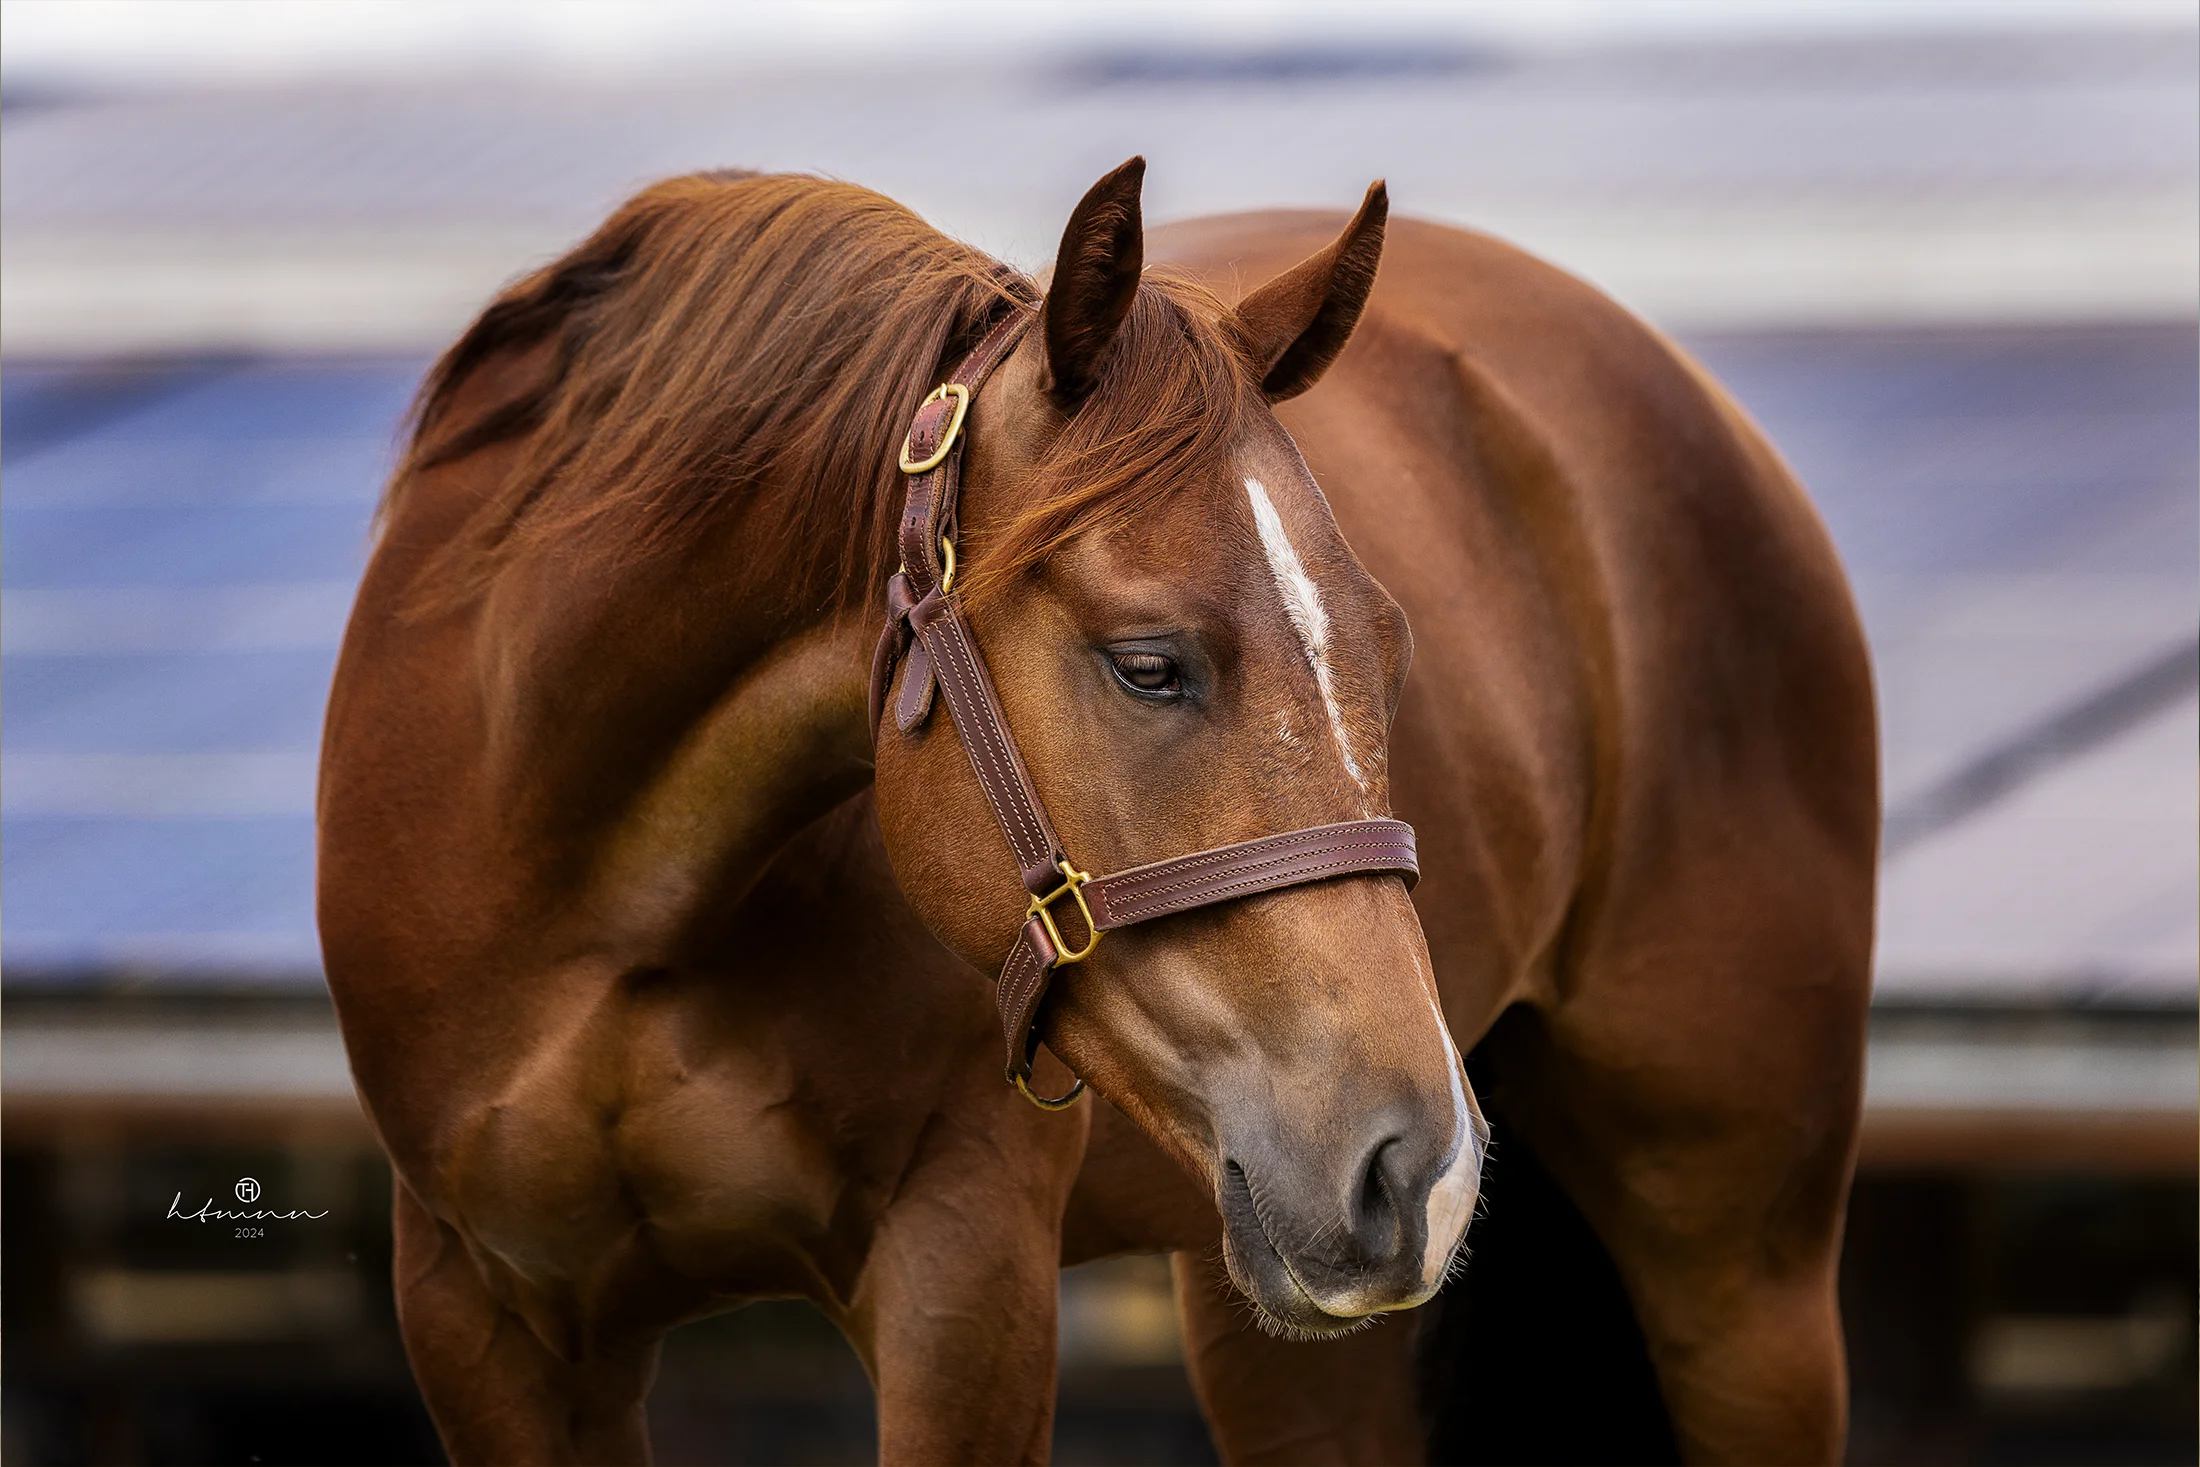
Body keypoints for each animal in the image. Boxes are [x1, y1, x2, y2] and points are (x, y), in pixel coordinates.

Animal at [321, 160, 1874, 1467]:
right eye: (1149, 663)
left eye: (1391, 650)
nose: (1419, 1167)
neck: (601, 885)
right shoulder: (486, 1312)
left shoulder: (962, 1279)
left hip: (1744, 1277)